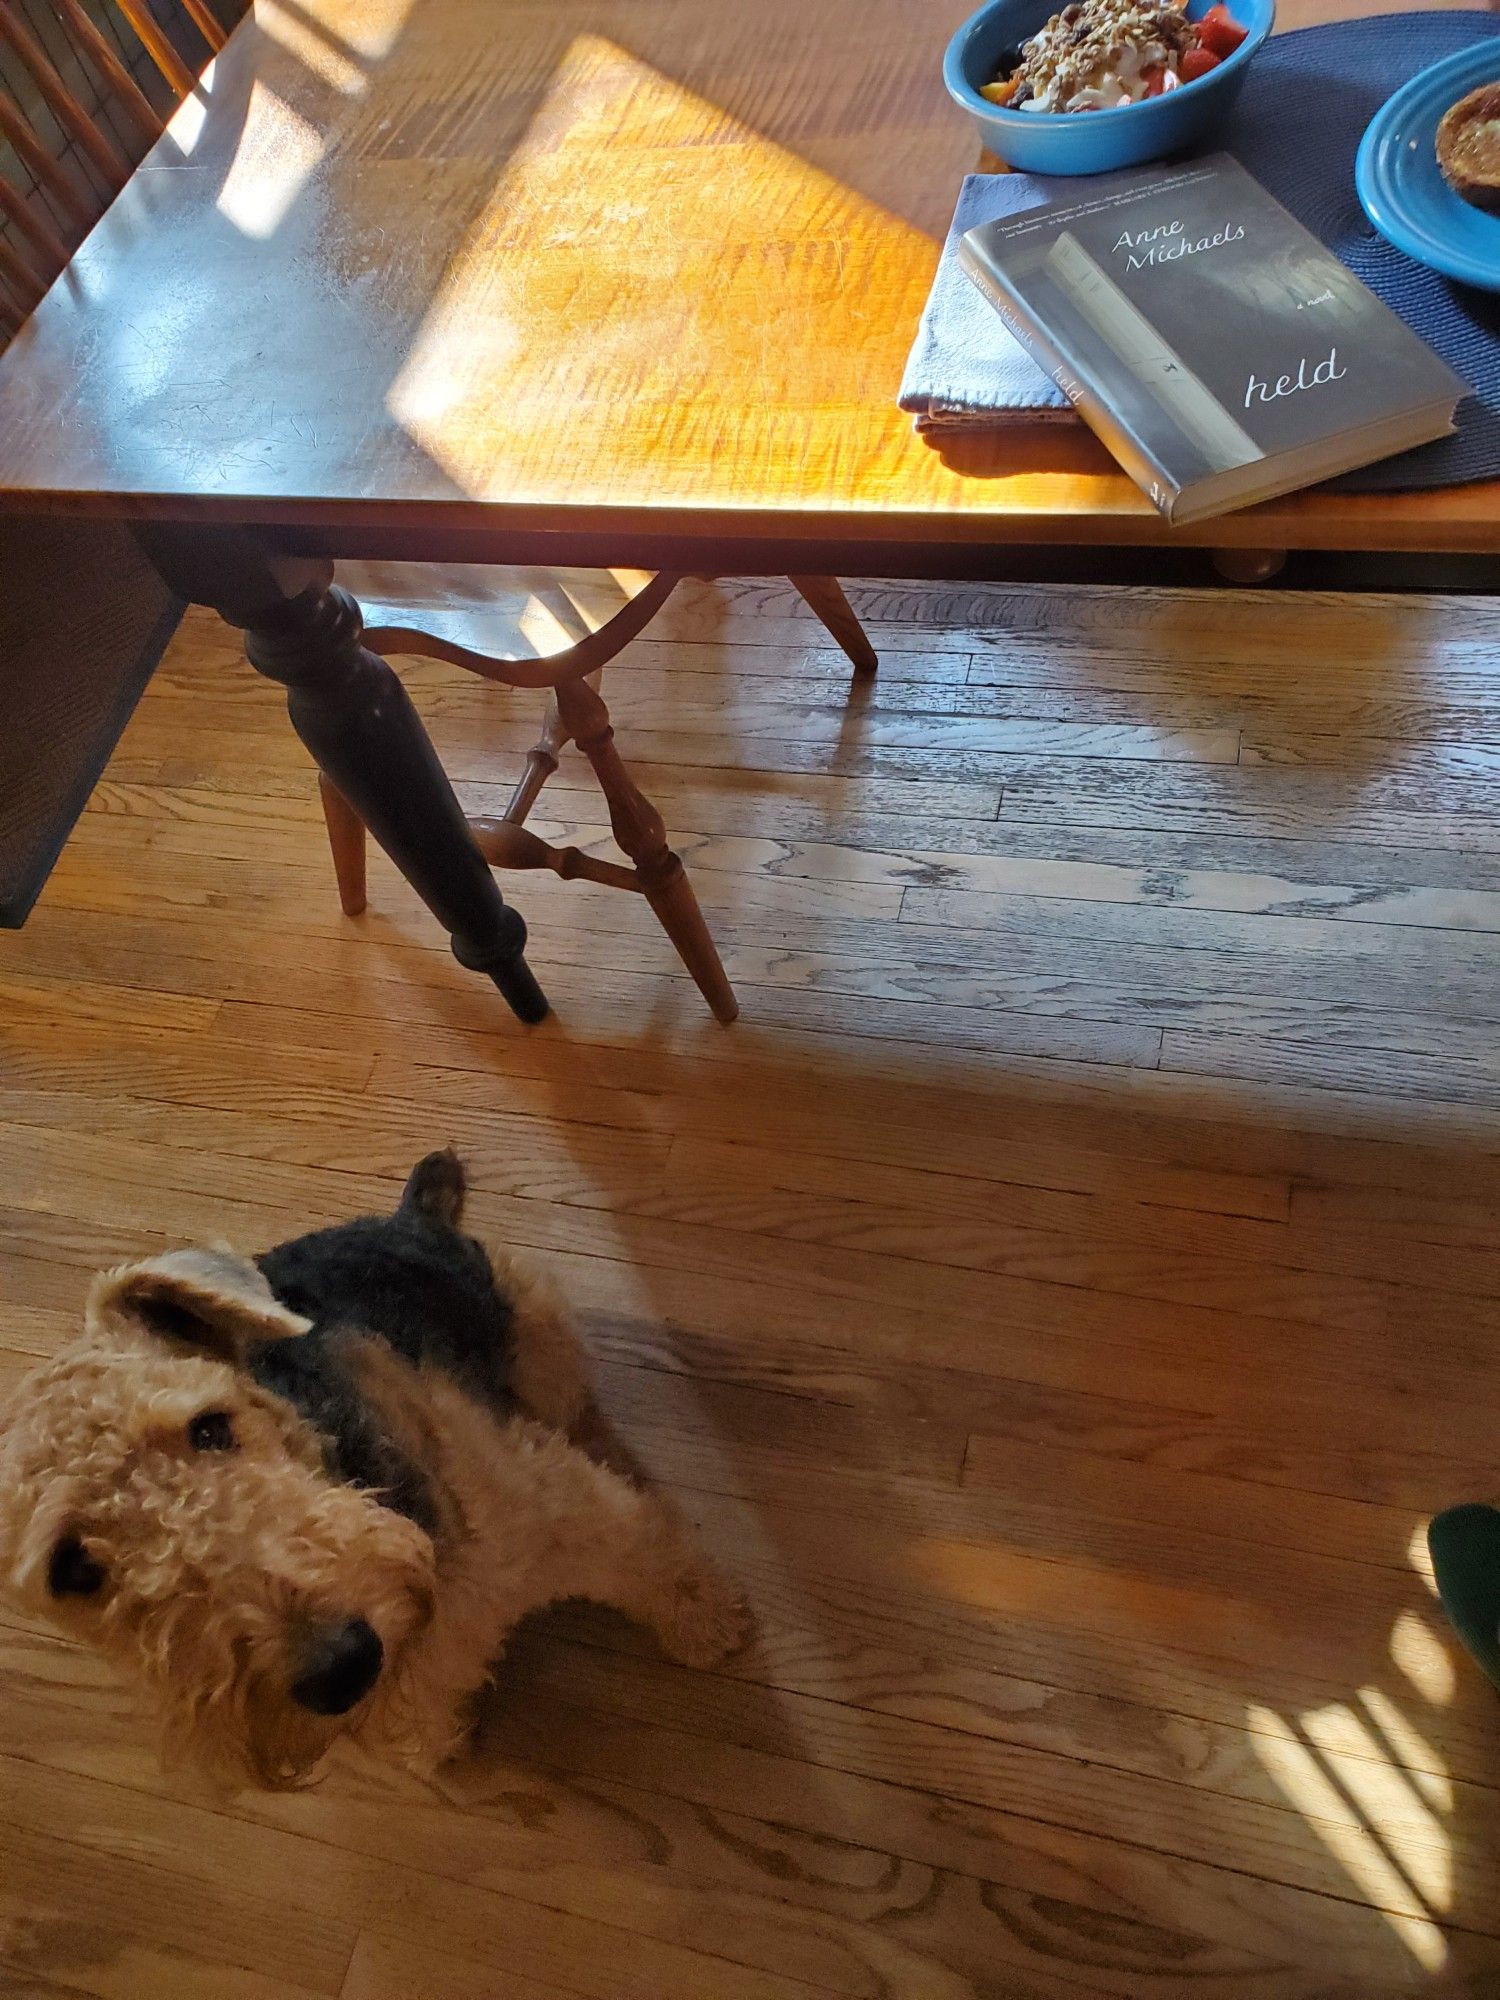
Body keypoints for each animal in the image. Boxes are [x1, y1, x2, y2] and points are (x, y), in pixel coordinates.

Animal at [0, 1152, 752, 1792]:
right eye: (73, 1569)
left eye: (209, 1426)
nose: (342, 1665)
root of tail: (408, 1215)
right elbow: (414, 1723)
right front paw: (443, 1741)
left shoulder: (559, 1506)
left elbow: (649, 1555)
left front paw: (711, 1626)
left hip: (542, 1351)